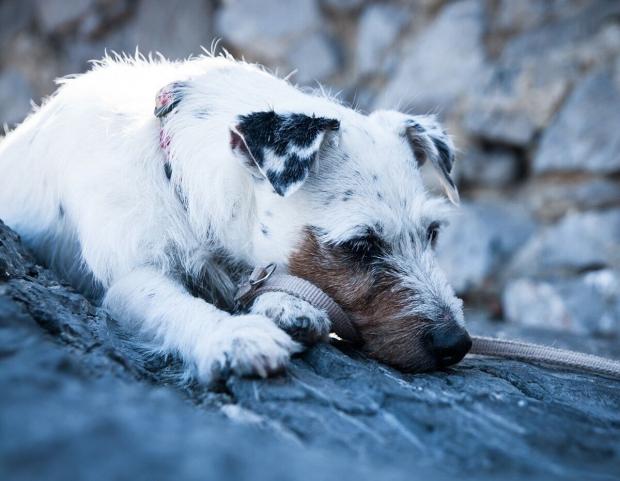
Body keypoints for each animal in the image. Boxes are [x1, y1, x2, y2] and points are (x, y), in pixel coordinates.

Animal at [0, 52, 468, 380]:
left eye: (432, 233)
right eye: (360, 244)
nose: (457, 343)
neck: (174, 168)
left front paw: (286, 303)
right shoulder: (132, 275)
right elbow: (172, 304)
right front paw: (233, 335)